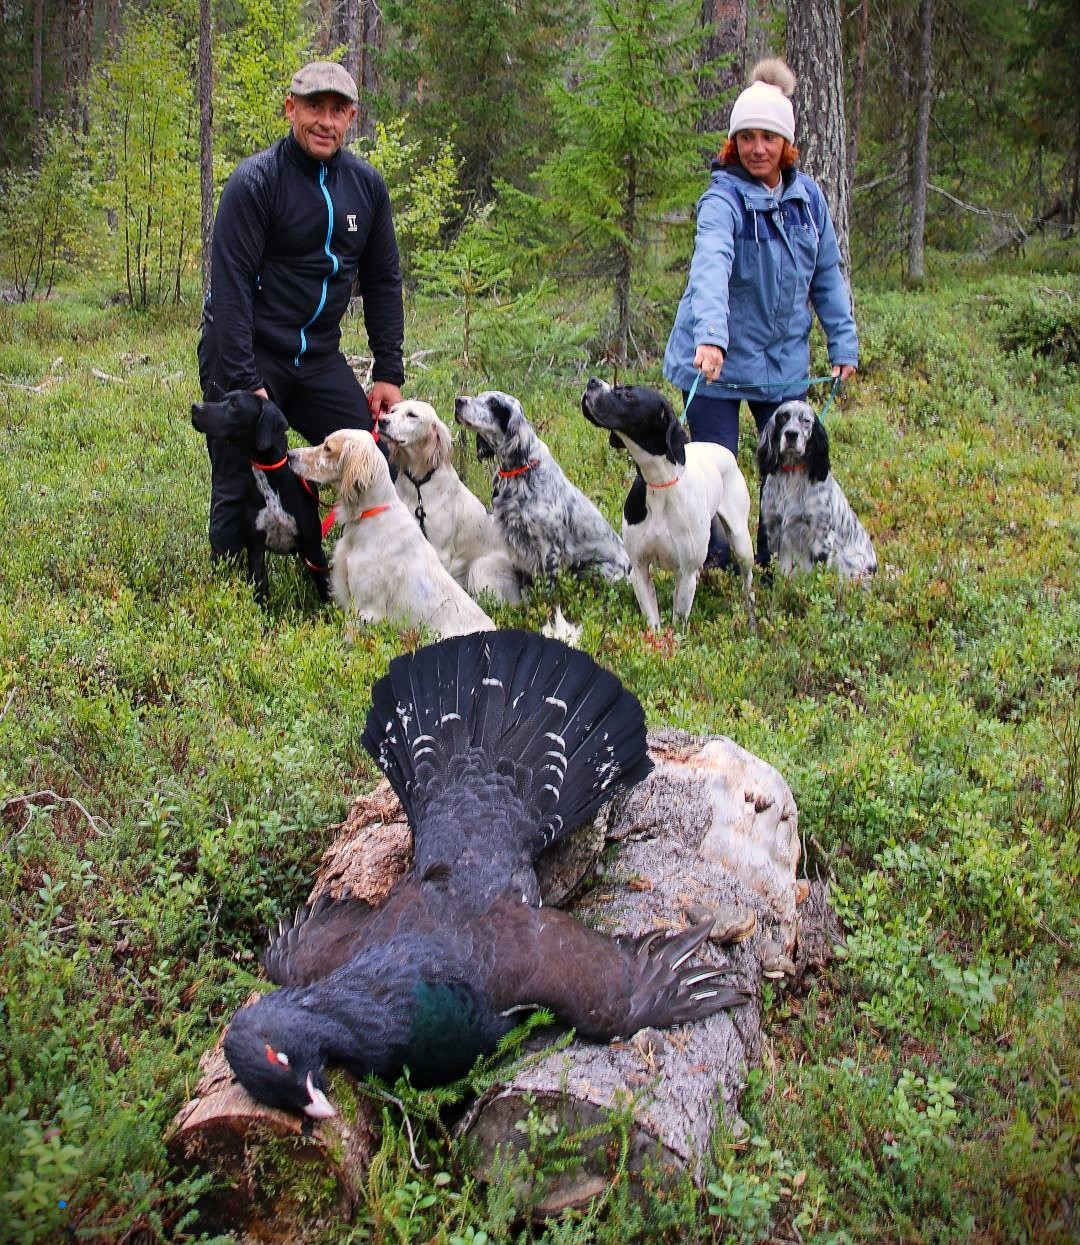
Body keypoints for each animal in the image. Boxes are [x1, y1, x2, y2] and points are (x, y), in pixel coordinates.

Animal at [191, 390, 330, 604]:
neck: (270, 479)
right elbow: (259, 591)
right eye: (222, 398)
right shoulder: (255, 550)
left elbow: (327, 592)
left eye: (234, 404)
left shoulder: (313, 549)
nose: (195, 407)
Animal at [377, 400, 523, 604]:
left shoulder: (441, 550)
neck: (419, 484)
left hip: (479, 566)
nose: (382, 421)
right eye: (392, 410)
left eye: (412, 415)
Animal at [454, 390, 631, 583]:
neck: (519, 470)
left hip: (595, 570)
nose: (458, 401)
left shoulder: (548, 549)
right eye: (479, 395)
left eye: (493, 403)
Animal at [581, 379, 756, 630]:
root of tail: (723, 450)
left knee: (747, 583)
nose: (592, 381)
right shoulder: (639, 569)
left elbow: (677, 624)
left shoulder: (685, 573)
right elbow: (654, 624)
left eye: (628, 395)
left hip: (742, 543)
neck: (660, 483)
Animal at [756, 400, 877, 580]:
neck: (791, 475)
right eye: (783, 417)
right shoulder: (777, 532)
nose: (791, 434)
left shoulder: (821, 537)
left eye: (806, 421)